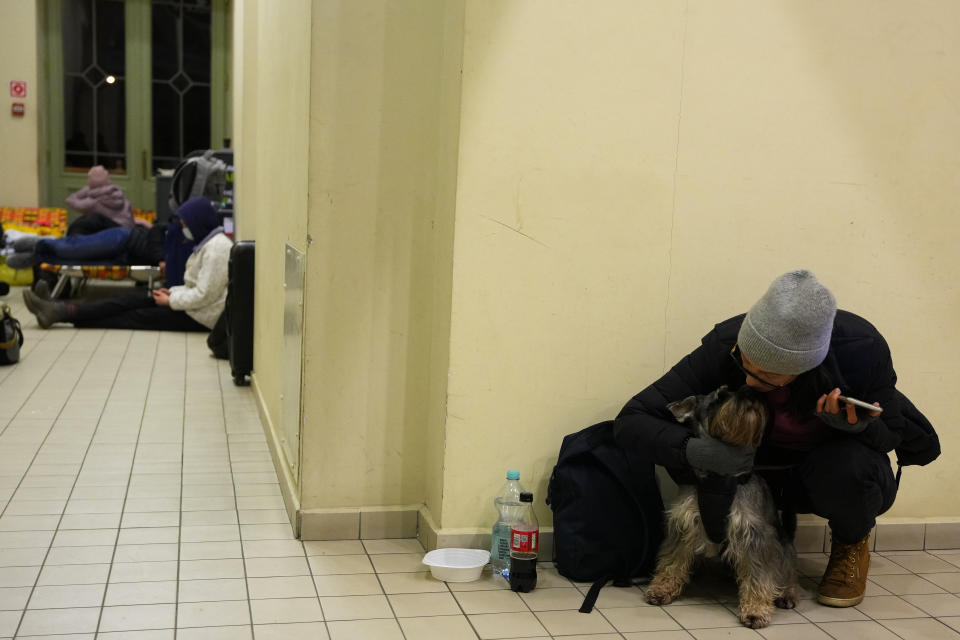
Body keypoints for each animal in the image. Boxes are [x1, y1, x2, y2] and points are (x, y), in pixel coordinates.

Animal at [648, 388, 800, 628]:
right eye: (720, 395)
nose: (751, 393)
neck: (719, 480)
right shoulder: (683, 524)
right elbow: (672, 560)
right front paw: (661, 588)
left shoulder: (754, 536)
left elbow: (759, 575)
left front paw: (755, 610)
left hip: (782, 548)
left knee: (787, 572)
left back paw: (787, 594)